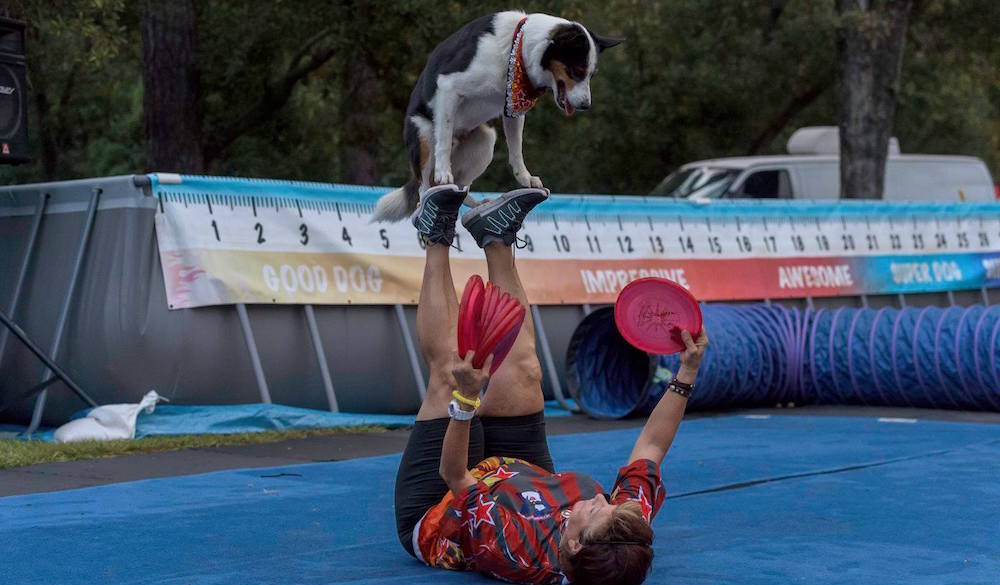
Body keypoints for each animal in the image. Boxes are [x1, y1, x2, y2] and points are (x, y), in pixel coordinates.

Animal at [372, 11, 620, 221]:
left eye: (591, 75)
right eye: (576, 71)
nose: (586, 105)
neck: (516, 48)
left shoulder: (512, 109)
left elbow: (516, 150)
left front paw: (525, 179)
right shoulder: (448, 88)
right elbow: (443, 139)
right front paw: (444, 172)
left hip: (485, 140)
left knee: (461, 187)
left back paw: (477, 204)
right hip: (423, 134)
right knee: (425, 185)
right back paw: (428, 198)